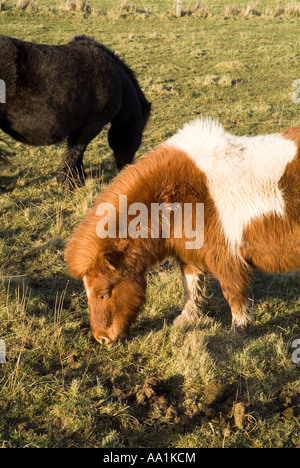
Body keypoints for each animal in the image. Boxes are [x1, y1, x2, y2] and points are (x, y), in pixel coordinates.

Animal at [0, 35, 150, 188]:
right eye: (138, 132)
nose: (126, 170)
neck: (117, 82)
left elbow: (74, 150)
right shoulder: (92, 125)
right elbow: (77, 150)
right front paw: (71, 181)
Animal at [65, 117, 300, 344]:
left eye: (105, 293)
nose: (102, 338)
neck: (181, 195)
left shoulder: (226, 259)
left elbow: (233, 292)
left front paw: (239, 329)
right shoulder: (190, 253)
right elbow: (191, 286)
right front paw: (187, 319)